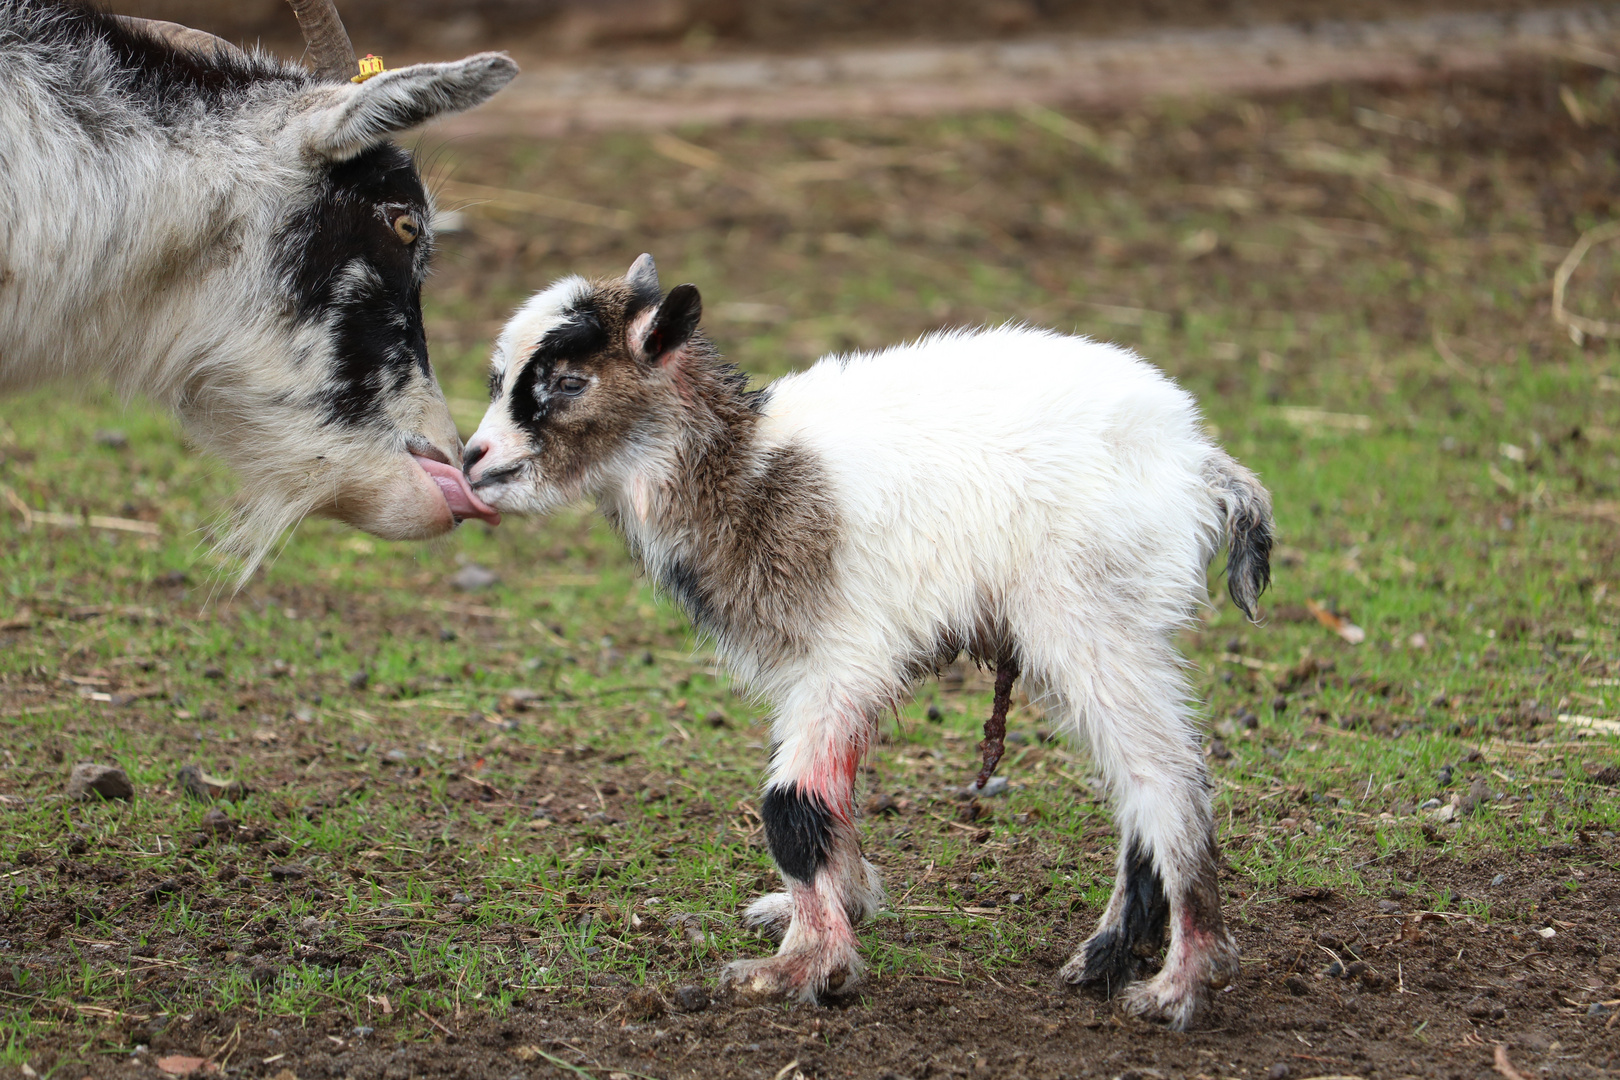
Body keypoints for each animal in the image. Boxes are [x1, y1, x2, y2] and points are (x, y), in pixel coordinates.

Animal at [469, 255, 1276, 1029]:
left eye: (570, 382)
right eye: (499, 378)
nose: (474, 460)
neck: (748, 476)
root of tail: (1199, 463)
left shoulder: (846, 658)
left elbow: (791, 808)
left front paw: (805, 969)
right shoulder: (814, 669)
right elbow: (829, 795)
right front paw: (831, 914)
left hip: (1091, 614)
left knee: (1165, 776)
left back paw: (1181, 984)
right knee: (1139, 776)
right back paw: (1109, 956)